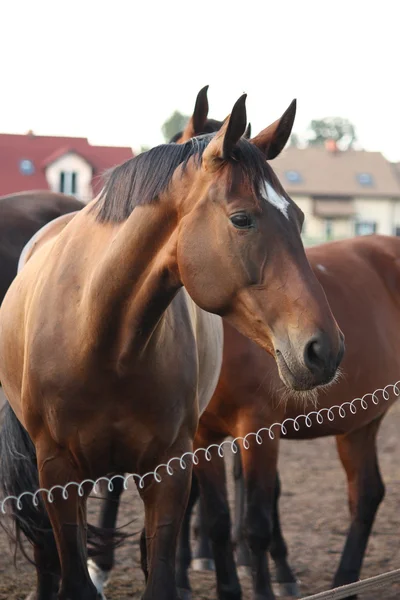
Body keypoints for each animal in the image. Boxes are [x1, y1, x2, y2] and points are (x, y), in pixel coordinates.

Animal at [0, 94, 344, 600]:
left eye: (299, 218)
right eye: (241, 219)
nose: (325, 349)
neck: (98, 334)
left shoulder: (171, 469)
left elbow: (160, 568)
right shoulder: (57, 470)